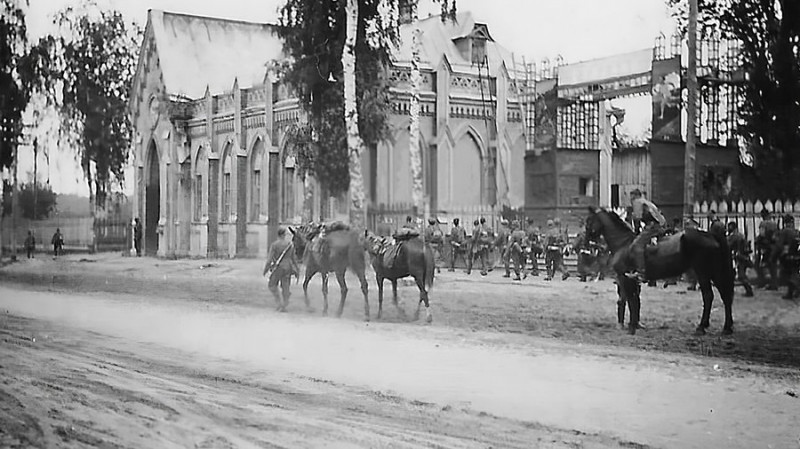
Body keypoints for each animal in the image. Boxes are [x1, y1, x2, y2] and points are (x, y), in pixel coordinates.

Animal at [584, 205, 736, 334]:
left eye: (589, 220)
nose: (586, 241)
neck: (624, 244)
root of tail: (711, 235)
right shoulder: (629, 280)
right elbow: (633, 301)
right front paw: (634, 324)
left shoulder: (625, 278)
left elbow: (631, 301)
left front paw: (632, 326)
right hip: (715, 272)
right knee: (725, 296)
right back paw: (726, 327)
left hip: (703, 273)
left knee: (709, 296)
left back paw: (702, 326)